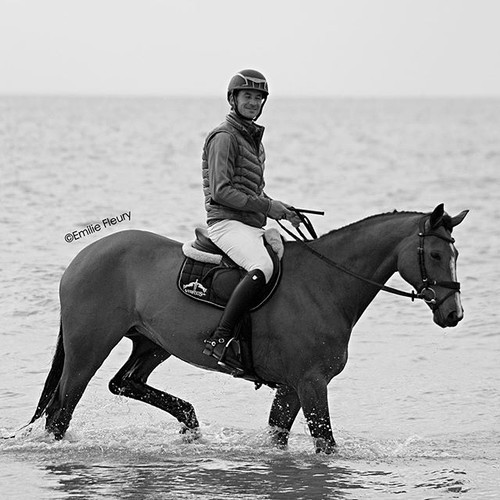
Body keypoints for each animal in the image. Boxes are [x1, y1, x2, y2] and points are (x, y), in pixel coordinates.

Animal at [28, 203, 468, 454]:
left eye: (455, 253)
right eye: (433, 254)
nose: (454, 314)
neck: (326, 283)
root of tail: (83, 256)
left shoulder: (291, 388)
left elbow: (278, 437)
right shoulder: (311, 383)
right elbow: (326, 444)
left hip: (152, 344)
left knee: (124, 383)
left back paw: (190, 423)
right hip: (88, 350)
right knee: (61, 413)